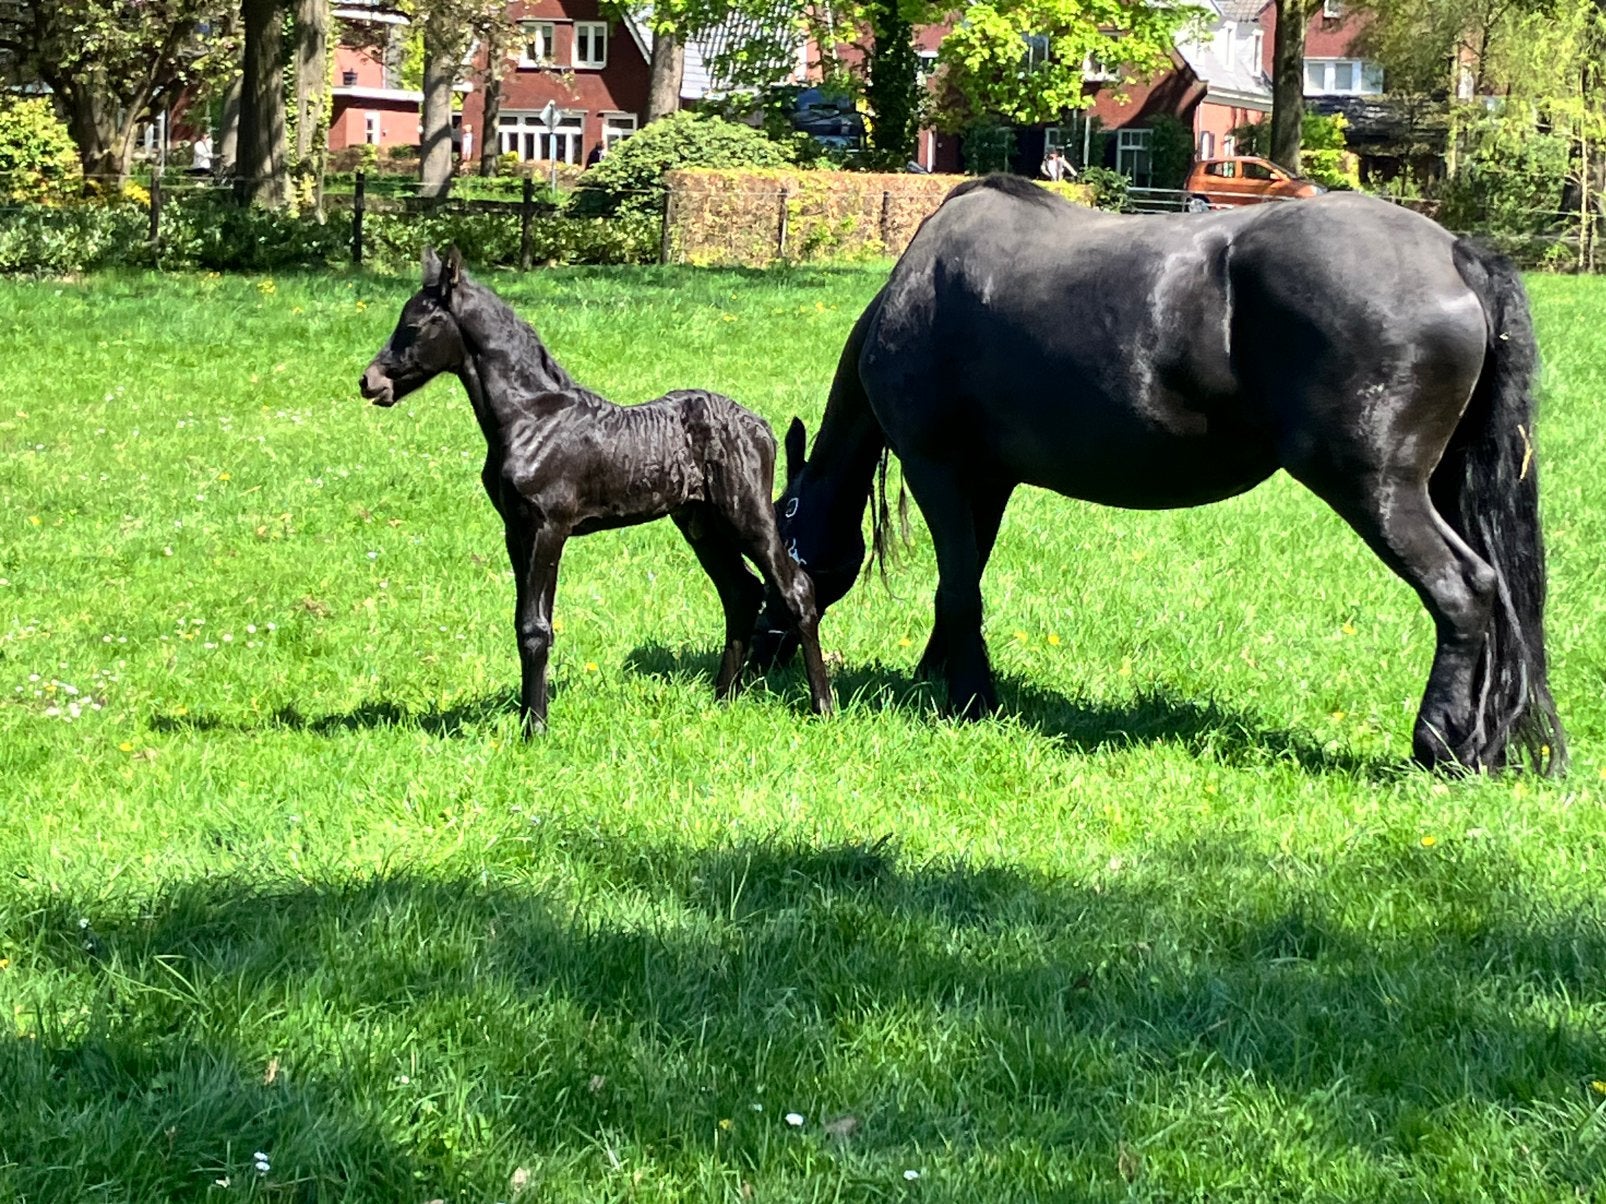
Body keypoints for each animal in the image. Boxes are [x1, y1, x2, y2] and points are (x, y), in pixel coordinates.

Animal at [360, 246, 833, 733]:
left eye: (413, 325)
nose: (369, 381)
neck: (530, 416)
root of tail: (760, 426)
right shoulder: (516, 531)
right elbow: (525, 622)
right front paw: (529, 717)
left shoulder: (549, 528)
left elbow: (535, 627)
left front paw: (534, 729)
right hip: (701, 524)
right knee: (742, 592)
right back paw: (722, 700)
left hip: (747, 515)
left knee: (795, 589)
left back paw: (822, 706)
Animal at [754, 175, 1565, 776]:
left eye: (782, 533)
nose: (764, 650)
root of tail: (1456, 254)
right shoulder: (988, 483)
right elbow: (965, 583)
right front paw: (941, 676)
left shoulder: (939, 470)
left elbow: (957, 588)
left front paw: (968, 699)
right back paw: (1481, 742)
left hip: (1378, 491)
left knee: (1465, 591)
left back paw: (1439, 745)